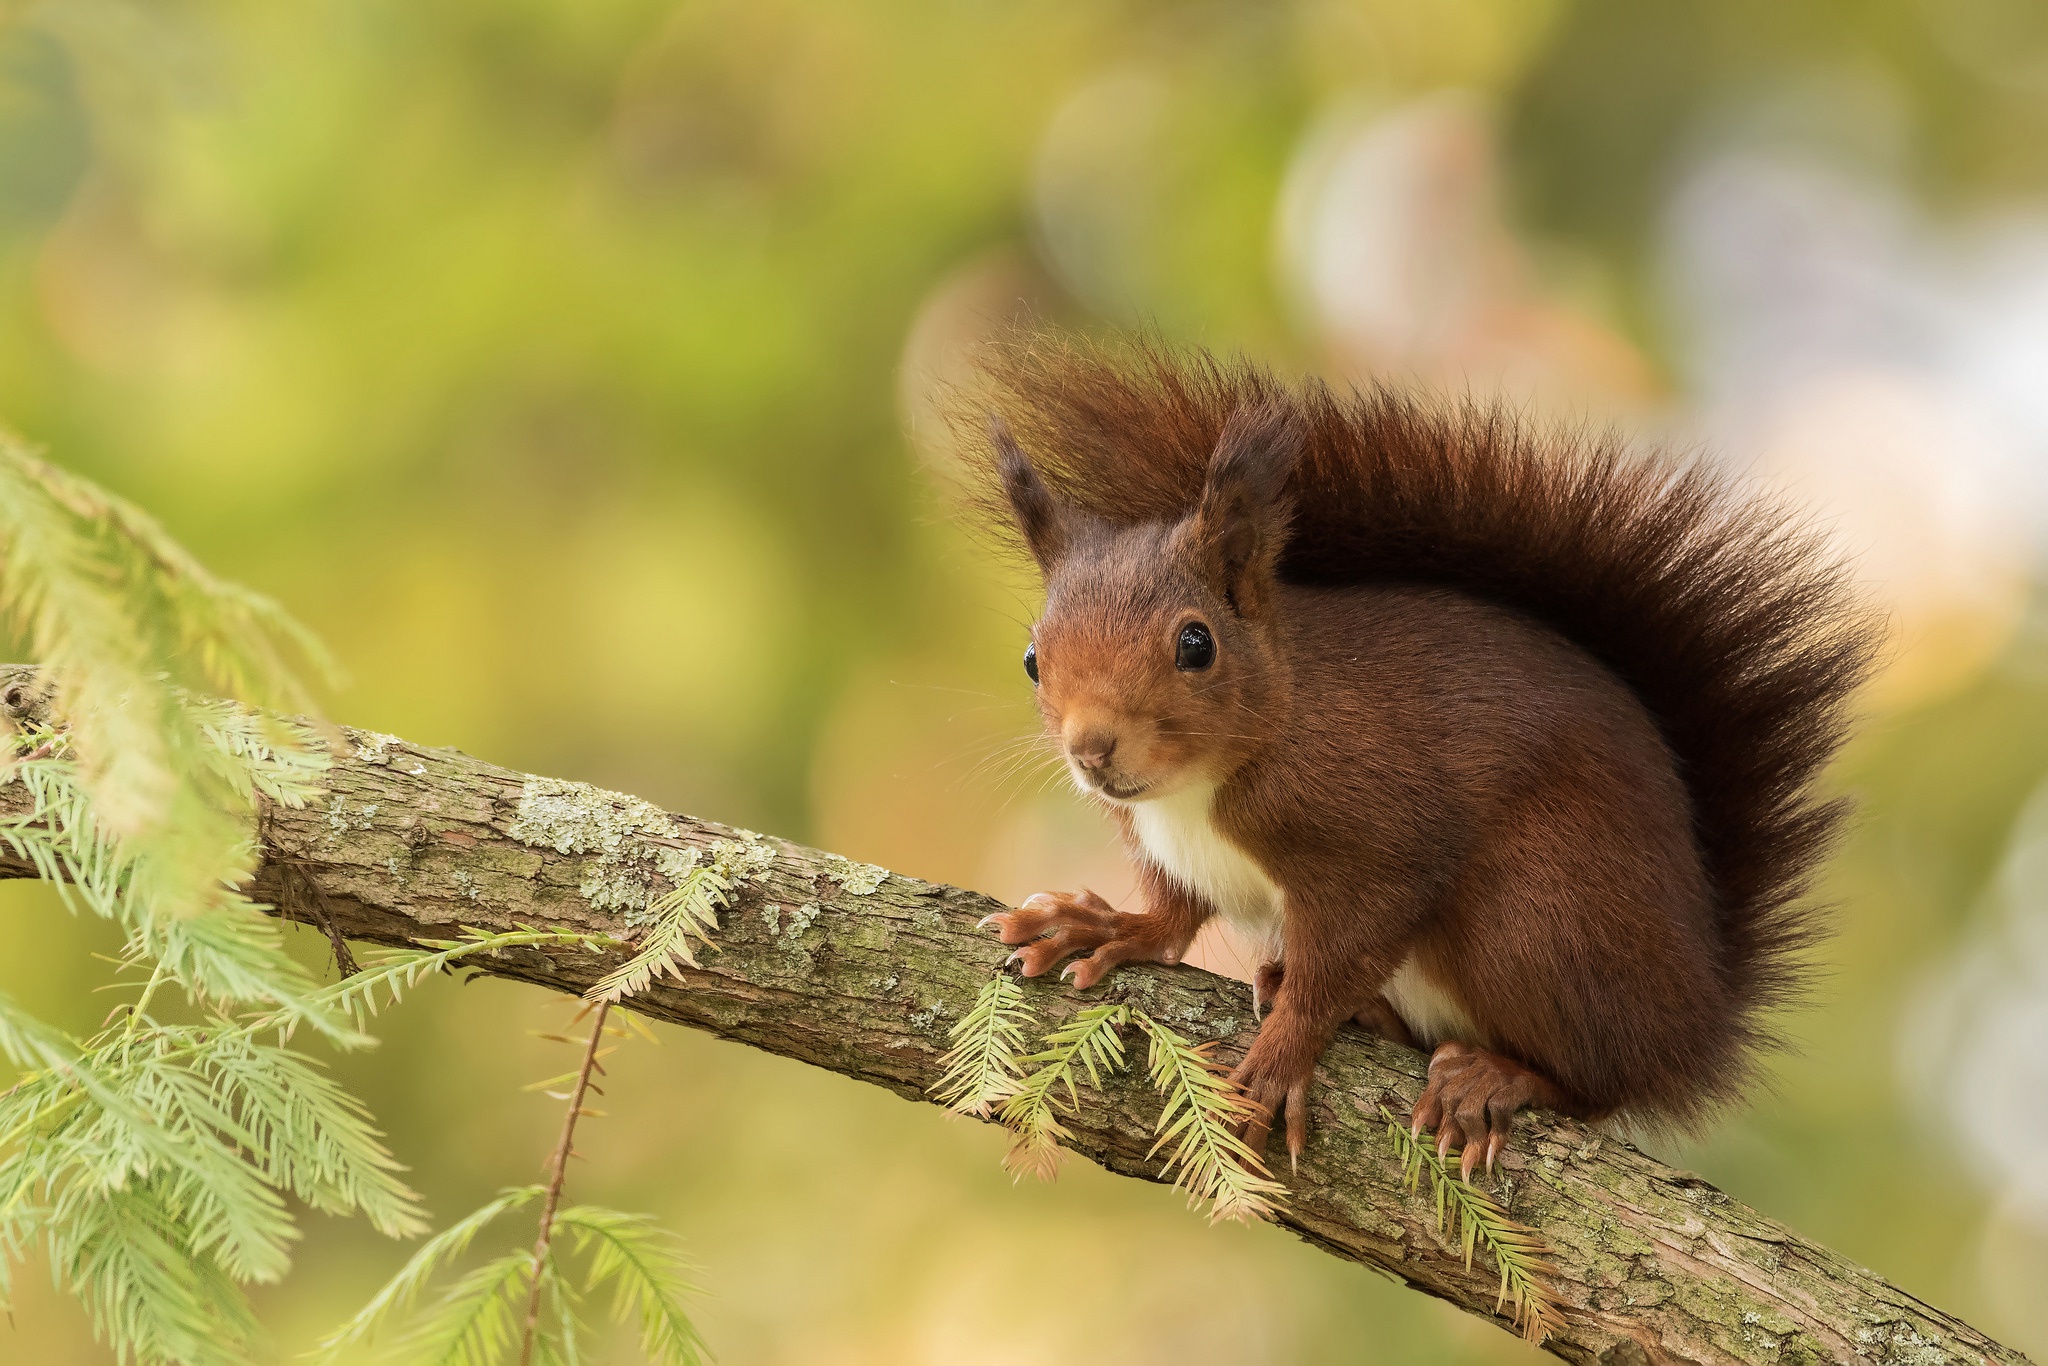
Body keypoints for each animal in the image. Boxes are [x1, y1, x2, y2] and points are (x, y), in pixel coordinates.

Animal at [966, 335, 1875, 1171]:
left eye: (1196, 644)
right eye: (1033, 658)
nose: (1092, 750)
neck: (1200, 789)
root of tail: (1698, 1016)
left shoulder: (1378, 841)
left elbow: (1346, 948)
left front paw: (1279, 1057)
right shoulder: (1166, 843)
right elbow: (1173, 913)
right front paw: (1100, 924)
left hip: (1536, 919)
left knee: (1598, 1083)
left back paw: (1497, 1076)